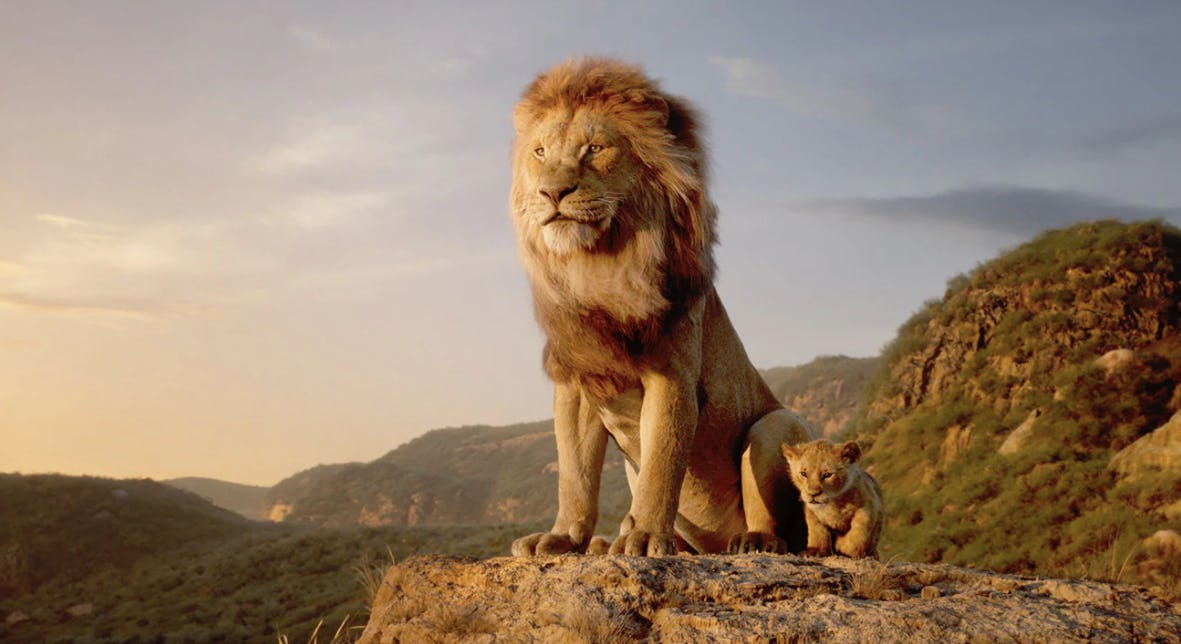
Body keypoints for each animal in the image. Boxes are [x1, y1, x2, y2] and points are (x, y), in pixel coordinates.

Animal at [507, 57, 815, 557]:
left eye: (594, 148)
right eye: (539, 152)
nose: (552, 193)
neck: (598, 267)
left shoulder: (672, 374)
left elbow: (662, 463)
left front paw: (647, 536)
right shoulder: (577, 382)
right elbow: (574, 474)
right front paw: (563, 537)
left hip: (775, 425)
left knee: (778, 526)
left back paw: (751, 541)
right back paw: (607, 542)